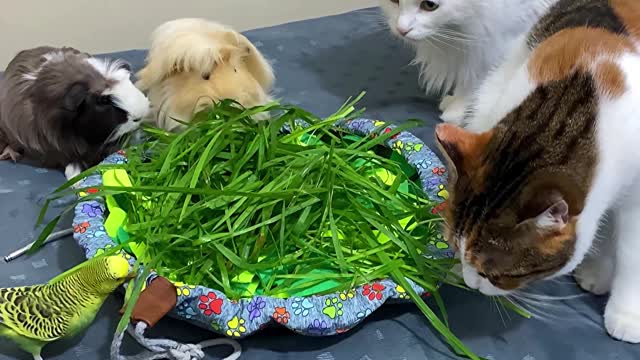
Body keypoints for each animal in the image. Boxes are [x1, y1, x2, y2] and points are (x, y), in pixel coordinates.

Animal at [380, 0, 556, 124]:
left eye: (429, 5)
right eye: (394, 0)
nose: (401, 30)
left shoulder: (502, 45)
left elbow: (482, 79)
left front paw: (461, 110)